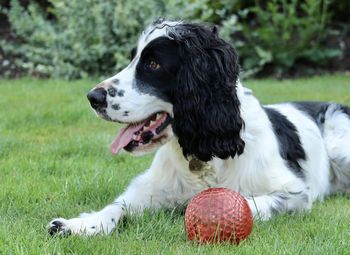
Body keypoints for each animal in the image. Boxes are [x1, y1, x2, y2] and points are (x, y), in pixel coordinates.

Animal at [47, 18, 350, 236]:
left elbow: (251, 203)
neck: (205, 153)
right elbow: (118, 206)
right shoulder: (151, 187)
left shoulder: (295, 193)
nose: (93, 97)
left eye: (153, 63)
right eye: (134, 59)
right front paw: (78, 225)